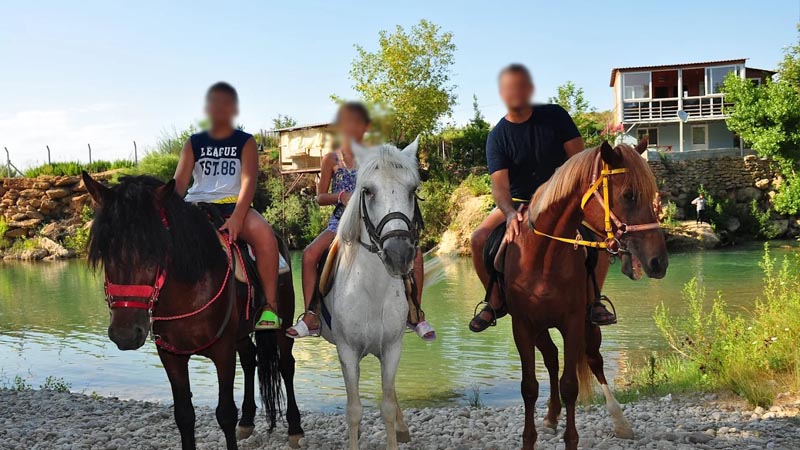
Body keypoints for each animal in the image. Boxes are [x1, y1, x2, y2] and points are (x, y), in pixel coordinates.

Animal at [80, 173, 304, 450]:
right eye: (104, 251)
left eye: (154, 251)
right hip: (241, 332)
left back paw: (295, 428)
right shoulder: (171, 355)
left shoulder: (223, 351)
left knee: (286, 365)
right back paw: (247, 420)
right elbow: (184, 415)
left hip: (283, 321)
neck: (189, 289)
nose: (125, 334)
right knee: (250, 358)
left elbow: (225, 413)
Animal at [321, 140, 422, 450]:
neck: (372, 291)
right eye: (367, 191)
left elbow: (386, 405)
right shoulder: (347, 351)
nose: (398, 254)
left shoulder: (392, 347)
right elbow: (354, 410)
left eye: (412, 189)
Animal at [501, 140, 668, 450]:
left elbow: (570, 385)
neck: (543, 258)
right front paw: (529, 439)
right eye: (628, 195)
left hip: (589, 327)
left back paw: (619, 421)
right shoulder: (523, 326)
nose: (659, 262)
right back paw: (551, 417)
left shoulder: (574, 322)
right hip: (541, 328)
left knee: (594, 361)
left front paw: (571, 440)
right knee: (552, 358)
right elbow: (529, 387)